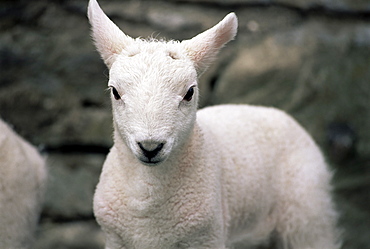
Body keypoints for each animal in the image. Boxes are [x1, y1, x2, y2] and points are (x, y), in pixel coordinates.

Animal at [87, 0, 342, 248]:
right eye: (115, 92)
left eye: (189, 92)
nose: (150, 146)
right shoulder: (116, 239)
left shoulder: (205, 236)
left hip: (307, 213)